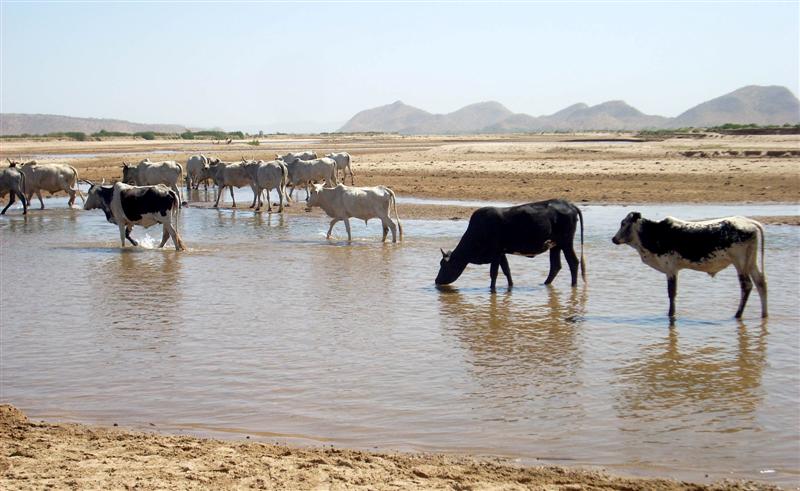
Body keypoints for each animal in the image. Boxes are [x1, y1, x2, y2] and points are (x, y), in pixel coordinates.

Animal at [435, 199, 586, 291]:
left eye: (445, 265)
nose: (437, 281)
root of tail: (569, 204)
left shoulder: (496, 253)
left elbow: (494, 273)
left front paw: (492, 290)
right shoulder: (502, 253)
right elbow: (507, 271)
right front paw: (510, 287)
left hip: (566, 243)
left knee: (573, 262)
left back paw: (573, 285)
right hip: (555, 246)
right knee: (555, 266)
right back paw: (545, 284)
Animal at [612, 212, 767, 319]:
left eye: (624, 223)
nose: (614, 239)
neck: (654, 233)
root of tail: (748, 221)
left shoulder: (670, 269)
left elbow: (672, 293)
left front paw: (671, 315)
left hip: (740, 263)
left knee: (747, 286)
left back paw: (738, 314)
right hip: (750, 262)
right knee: (760, 283)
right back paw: (764, 314)